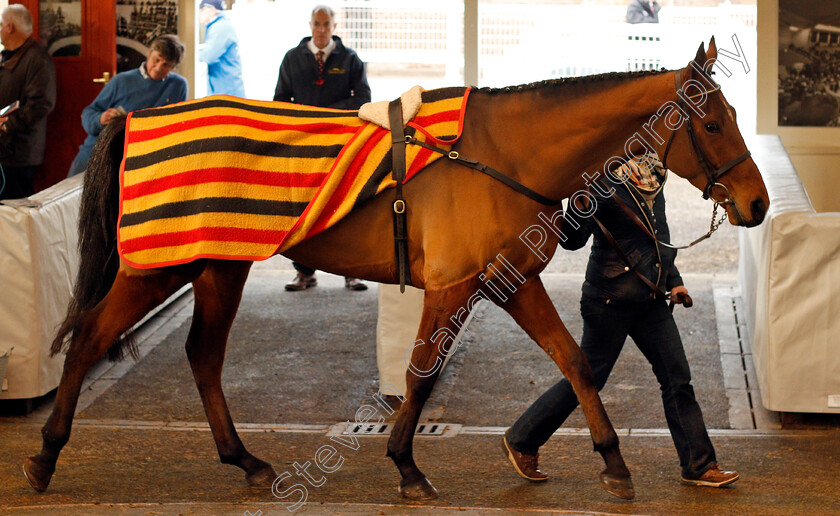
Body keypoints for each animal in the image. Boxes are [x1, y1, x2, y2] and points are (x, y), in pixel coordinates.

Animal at [24, 39, 768, 500]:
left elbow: (574, 362)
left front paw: (611, 461)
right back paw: (45, 455)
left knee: (202, 357)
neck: (503, 153)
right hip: (161, 266)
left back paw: (246, 461)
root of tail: (134, 117)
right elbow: (420, 373)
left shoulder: (511, 283)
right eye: (713, 122)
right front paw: (408, 466)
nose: (758, 203)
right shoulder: (454, 287)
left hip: (217, 269)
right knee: (90, 340)